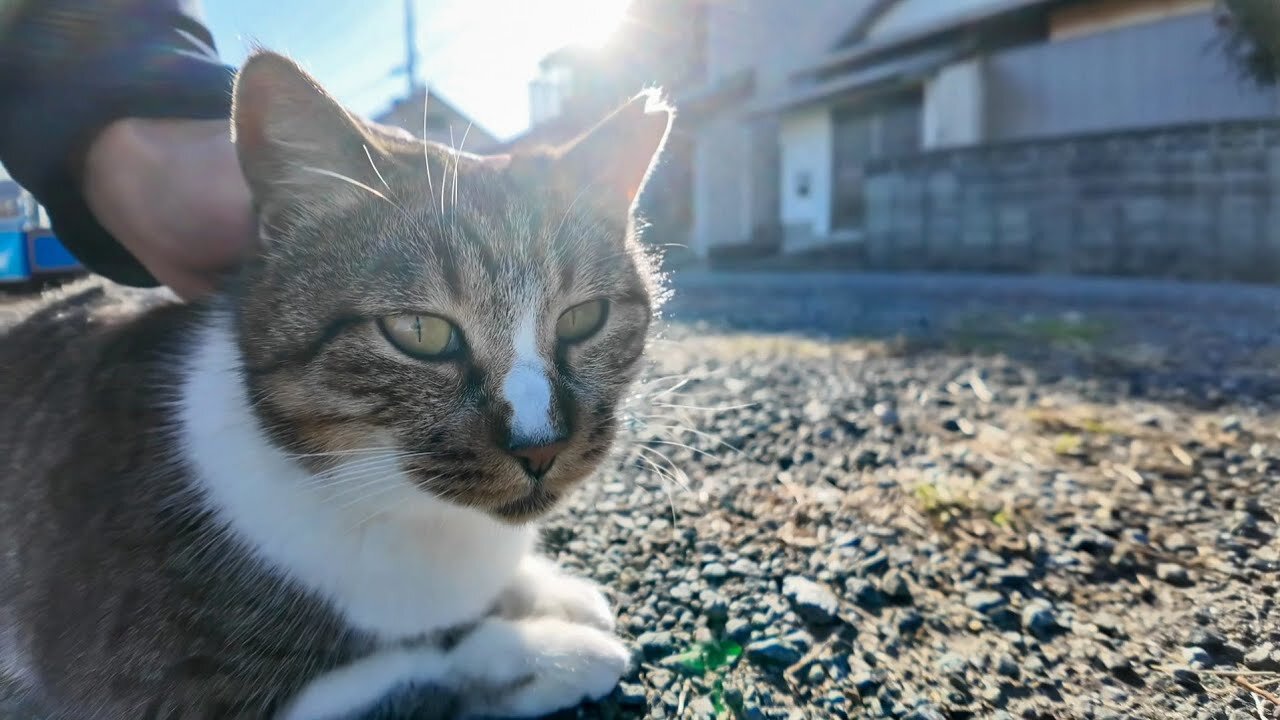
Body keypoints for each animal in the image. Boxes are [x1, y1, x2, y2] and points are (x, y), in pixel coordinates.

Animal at [0, 47, 675, 712]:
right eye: (419, 331)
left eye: (584, 318)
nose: (542, 446)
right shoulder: (153, 685)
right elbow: (416, 672)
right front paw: (556, 652)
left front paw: (550, 590)